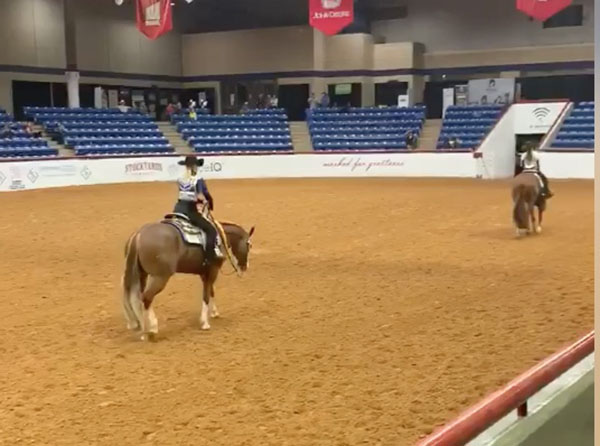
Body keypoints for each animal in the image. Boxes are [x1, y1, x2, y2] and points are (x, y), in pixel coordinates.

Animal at [120, 218, 254, 340]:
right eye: (249, 244)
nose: (245, 266)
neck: (220, 238)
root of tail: (139, 235)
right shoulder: (213, 271)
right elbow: (206, 295)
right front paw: (205, 323)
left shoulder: (205, 274)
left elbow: (211, 291)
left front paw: (214, 313)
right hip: (160, 277)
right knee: (147, 297)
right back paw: (152, 329)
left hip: (142, 275)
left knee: (138, 299)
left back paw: (143, 330)